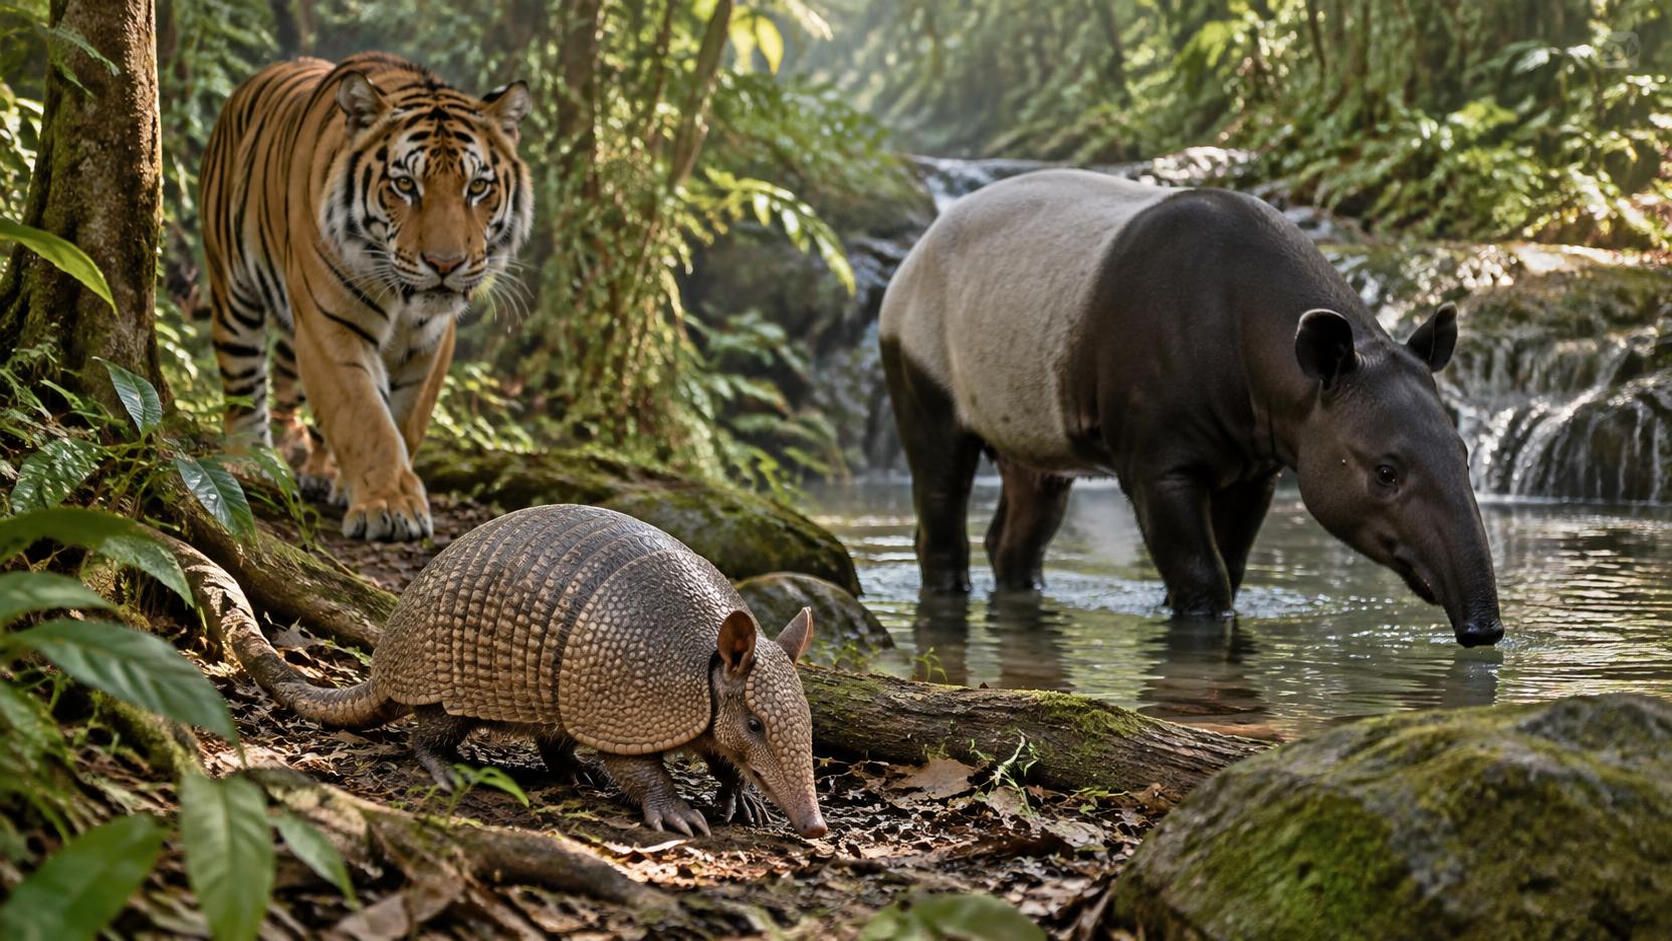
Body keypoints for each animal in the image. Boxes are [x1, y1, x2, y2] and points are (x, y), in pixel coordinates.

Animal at [200, 52, 532, 541]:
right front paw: (392, 508)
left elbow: (405, 419)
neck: (404, 302)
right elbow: (365, 416)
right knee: (244, 382)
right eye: (405, 185)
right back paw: (252, 461)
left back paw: (319, 474)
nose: (446, 264)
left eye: (477, 188)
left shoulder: (433, 340)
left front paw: (364, 487)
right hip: (234, 290)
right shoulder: (330, 325)